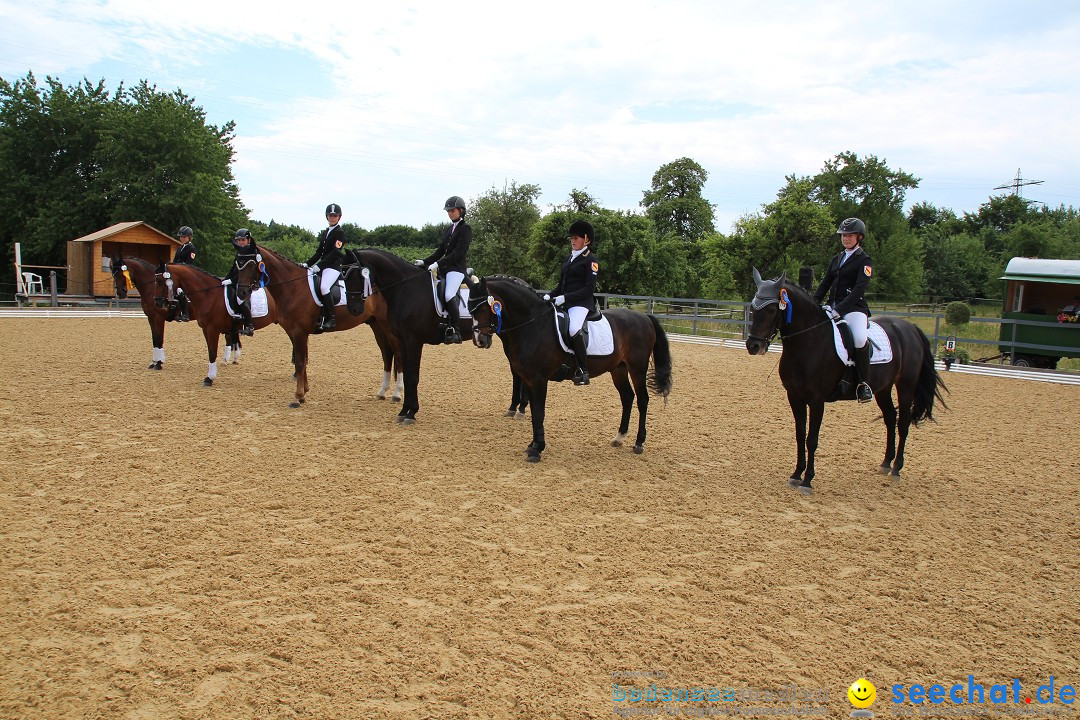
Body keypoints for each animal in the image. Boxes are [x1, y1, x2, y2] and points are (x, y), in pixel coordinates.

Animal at [468, 276, 669, 462]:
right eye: (470, 309)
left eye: (482, 308)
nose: (480, 340)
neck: (534, 324)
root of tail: (645, 318)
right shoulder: (529, 379)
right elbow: (534, 413)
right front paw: (532, 445)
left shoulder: (538, 379)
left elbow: (539, 412)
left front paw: (537, 450)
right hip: (618, 369)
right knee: (627, 397)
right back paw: (619, 438)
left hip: (637, 369)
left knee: (642, 400)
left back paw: (639, 443)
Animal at [743, 267, 946, 492]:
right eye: (753, 308)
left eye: (771, 310)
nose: (753, 346)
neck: (809, 341)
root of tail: (910, 327)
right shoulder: (794, 396)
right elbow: (799, 435)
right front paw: (796, 474)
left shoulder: (816, 400)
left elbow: (811, 439)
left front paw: (807, 480)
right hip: (883, 388)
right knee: (890, 417)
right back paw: (885, 464)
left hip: (906, 385)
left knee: (903, 422)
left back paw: (896, 469)